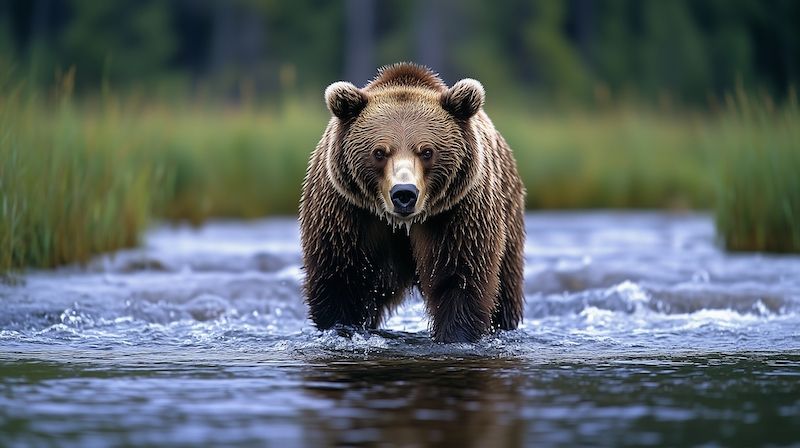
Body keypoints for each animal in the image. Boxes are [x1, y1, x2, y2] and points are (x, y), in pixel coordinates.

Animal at [300, 63, 524, 344]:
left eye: (427, 151)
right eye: (379, 152)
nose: (404, 193)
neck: (401, 224)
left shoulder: (458, 212)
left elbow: (461, 276)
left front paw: (456, 335)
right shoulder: (346, 211)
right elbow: (340, 278)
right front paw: (342, 327)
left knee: (505, 290)